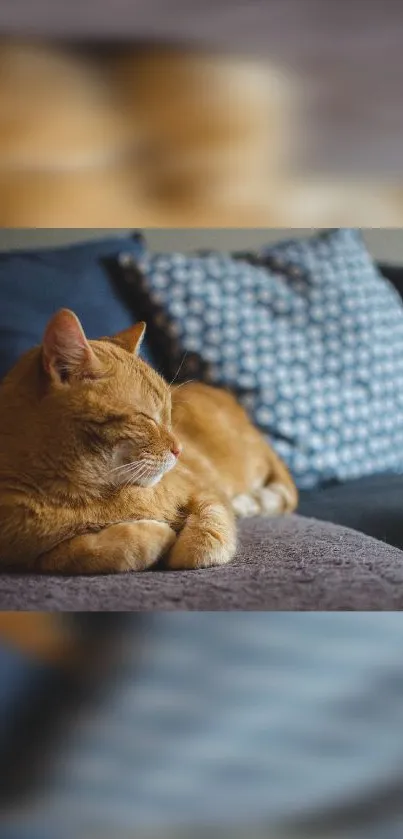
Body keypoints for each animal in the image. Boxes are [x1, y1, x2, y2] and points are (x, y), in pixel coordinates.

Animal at [0, 312, 296, 576]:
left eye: (169, 415)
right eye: (147, 418)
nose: (179, 450)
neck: (87, 494)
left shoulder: (205, 490)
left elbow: (210, 526)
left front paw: (185, 548)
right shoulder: (26, 555)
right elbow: (86, 552)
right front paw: (156, 535)